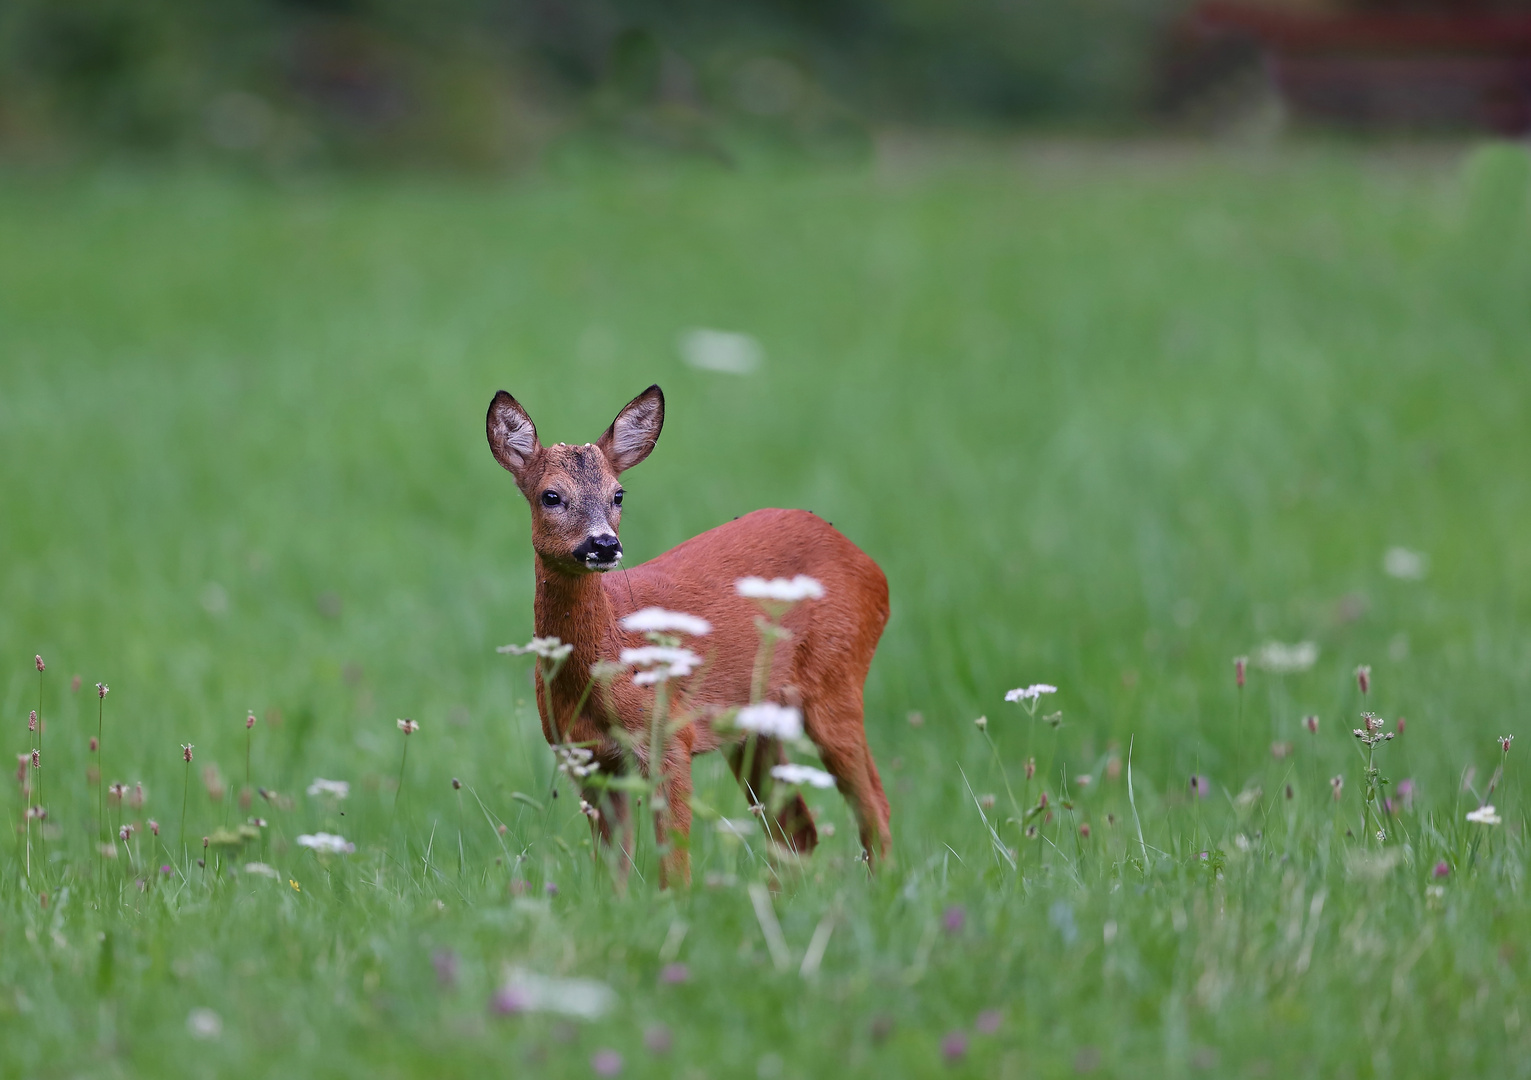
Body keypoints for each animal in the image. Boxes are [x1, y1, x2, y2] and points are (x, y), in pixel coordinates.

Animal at [489, 382, 894, 882]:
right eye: (550, 496)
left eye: (618, 494)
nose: (603, 545)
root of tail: (874, 570)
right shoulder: (587, 758)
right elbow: (612, 873)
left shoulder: (669, 737)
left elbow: (675, 866)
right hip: (752, 723)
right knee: (797, 829)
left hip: (836, 680)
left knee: (874, 808)